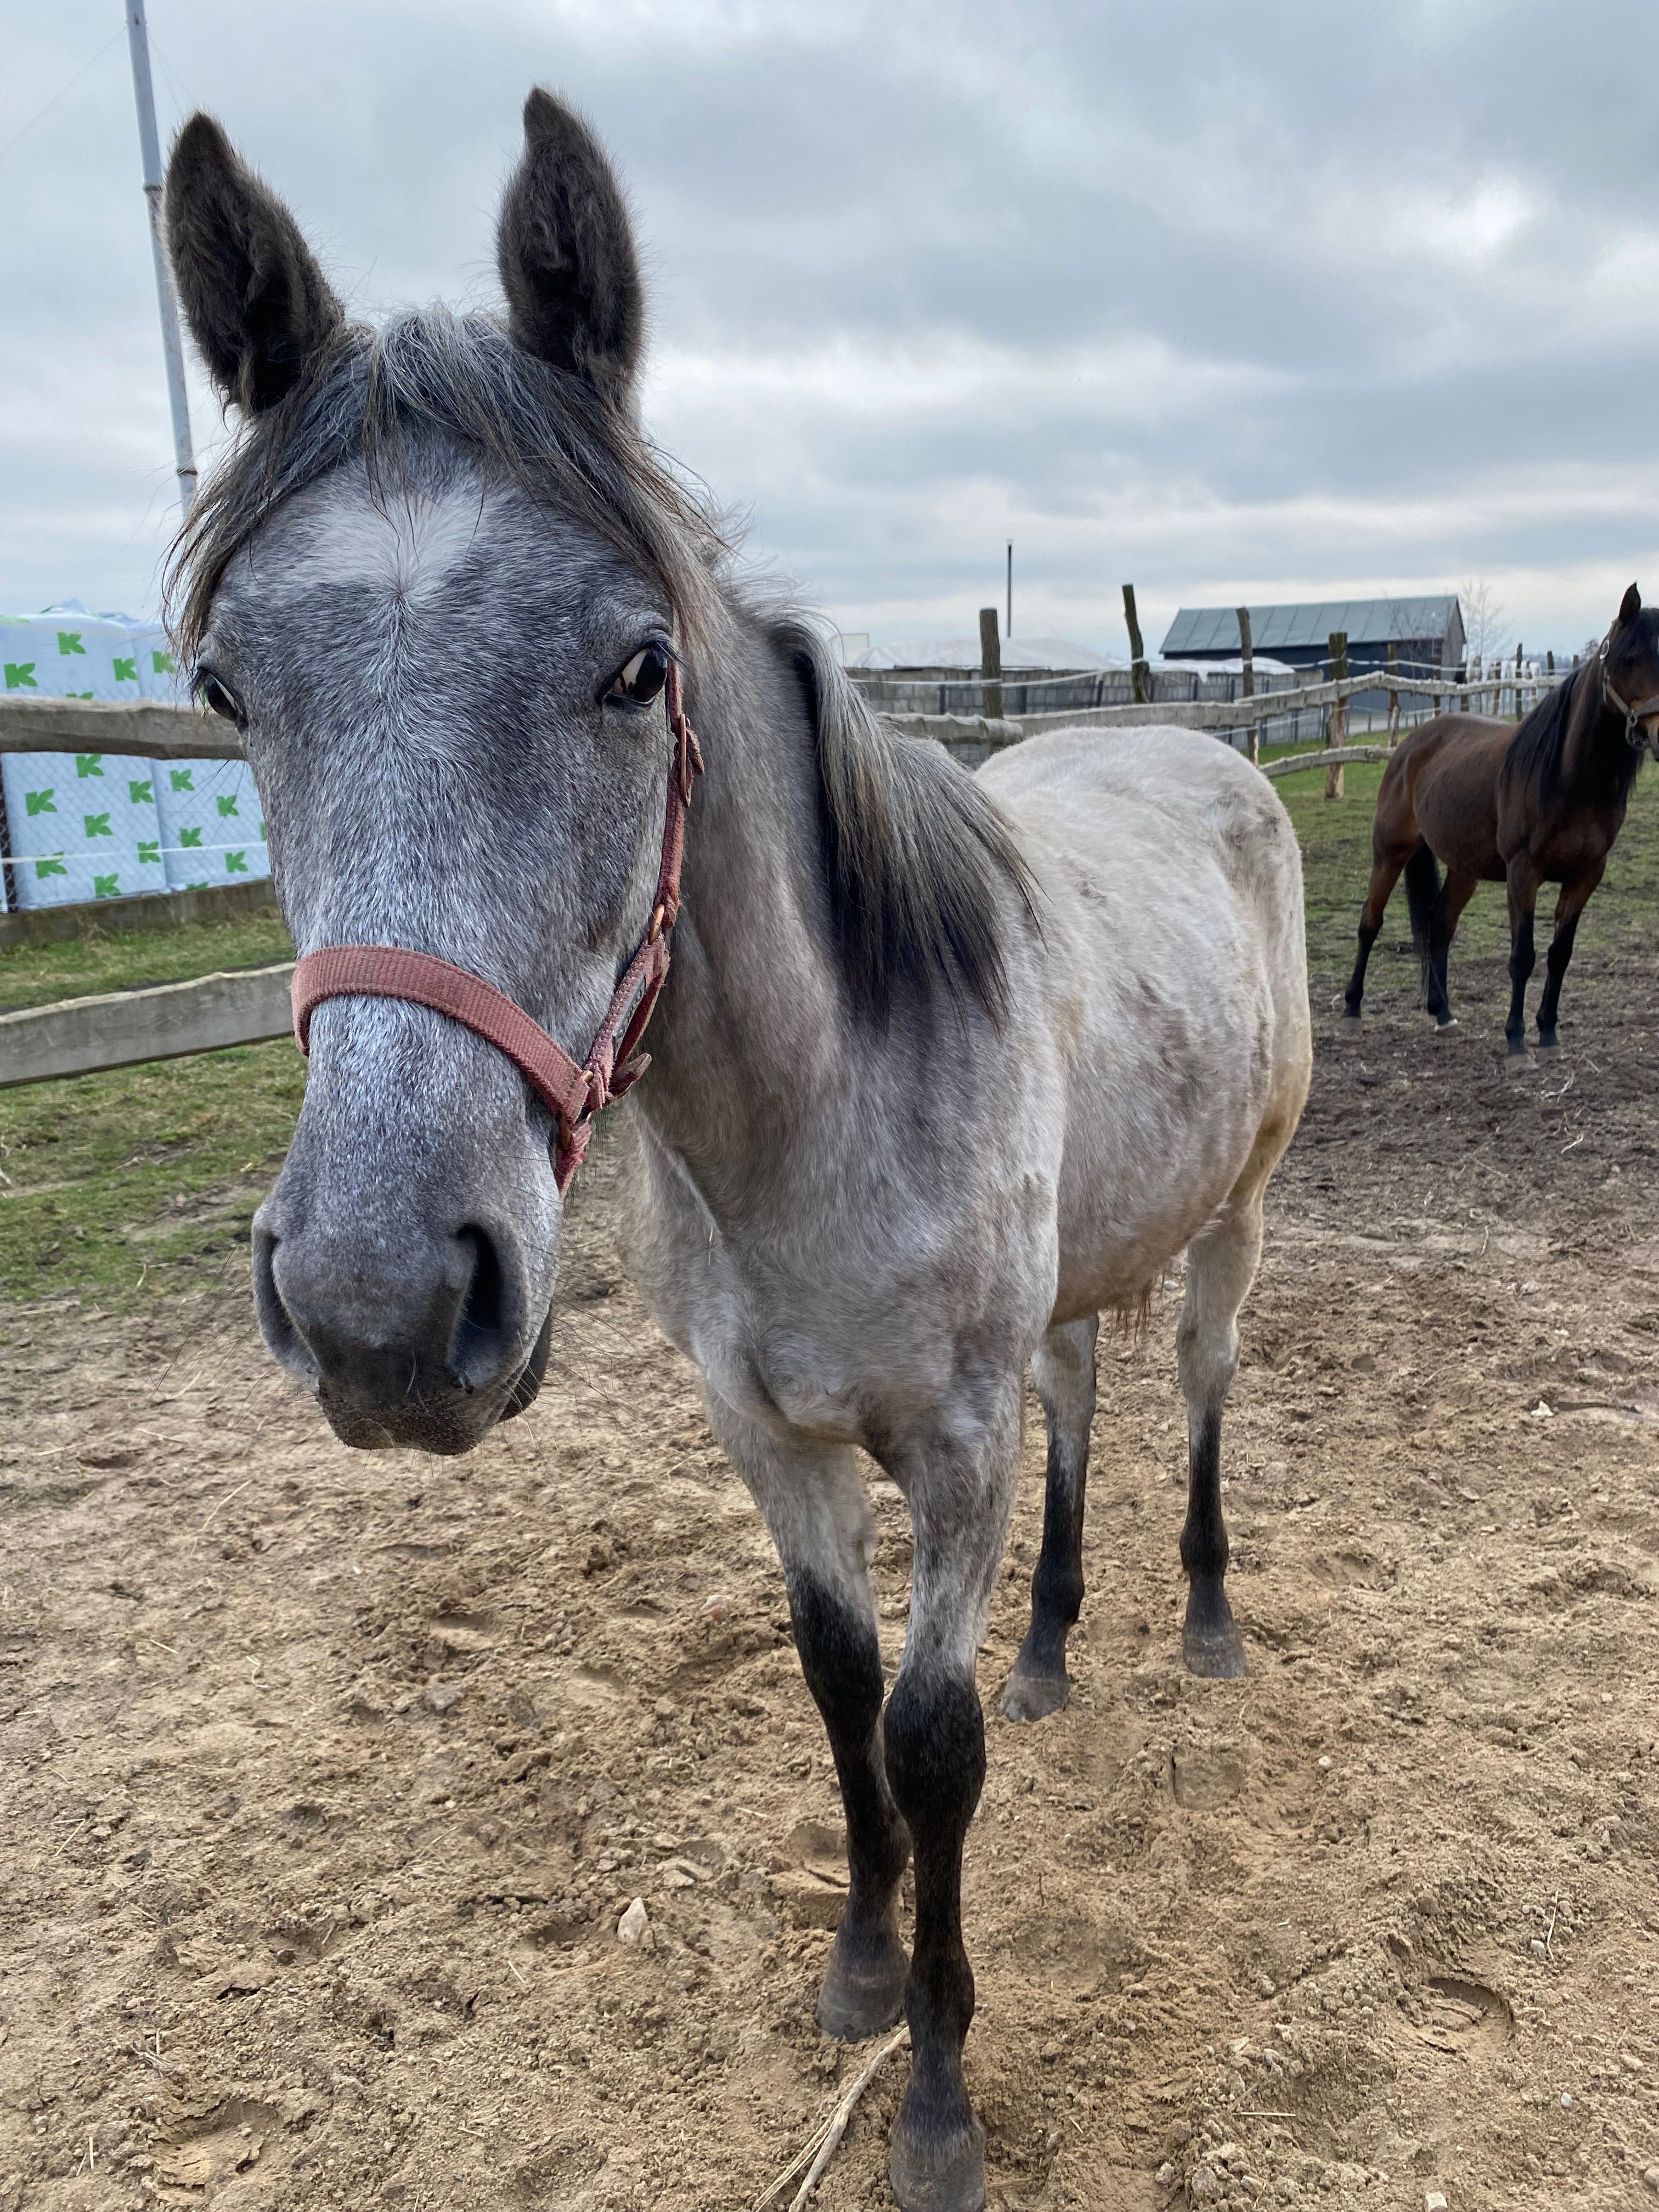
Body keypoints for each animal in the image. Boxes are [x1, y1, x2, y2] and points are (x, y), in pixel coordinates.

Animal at [162, 91, 1318, 2212]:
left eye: (637, 666)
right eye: (228, 690)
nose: (379, 1307)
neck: (806, 1126)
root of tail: (1199, 747)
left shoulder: (947, 1442)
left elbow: (933, 1744)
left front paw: (936, 2096)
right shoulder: (767, 1436)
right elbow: (834, 1684)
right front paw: (860, 1969)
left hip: (1236, 1218)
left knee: (1198, 1387)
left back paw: (1199, 1624)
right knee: (1088, 1390)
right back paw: (1059, 1639)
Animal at [1345, 588, 1659, 1053]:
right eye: (1629, 658)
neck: (1567, 777)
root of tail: (1412, 745)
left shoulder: (1586, 875)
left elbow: (1559, 954)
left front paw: (1548, 1032)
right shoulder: (1523, 872)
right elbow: (1522, 956)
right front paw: (1516, 1041)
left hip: (1464, 868)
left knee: (1440, 927)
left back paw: (1443, 1014)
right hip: (1390, 852)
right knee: (1371, 922)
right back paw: (1352, 1009)